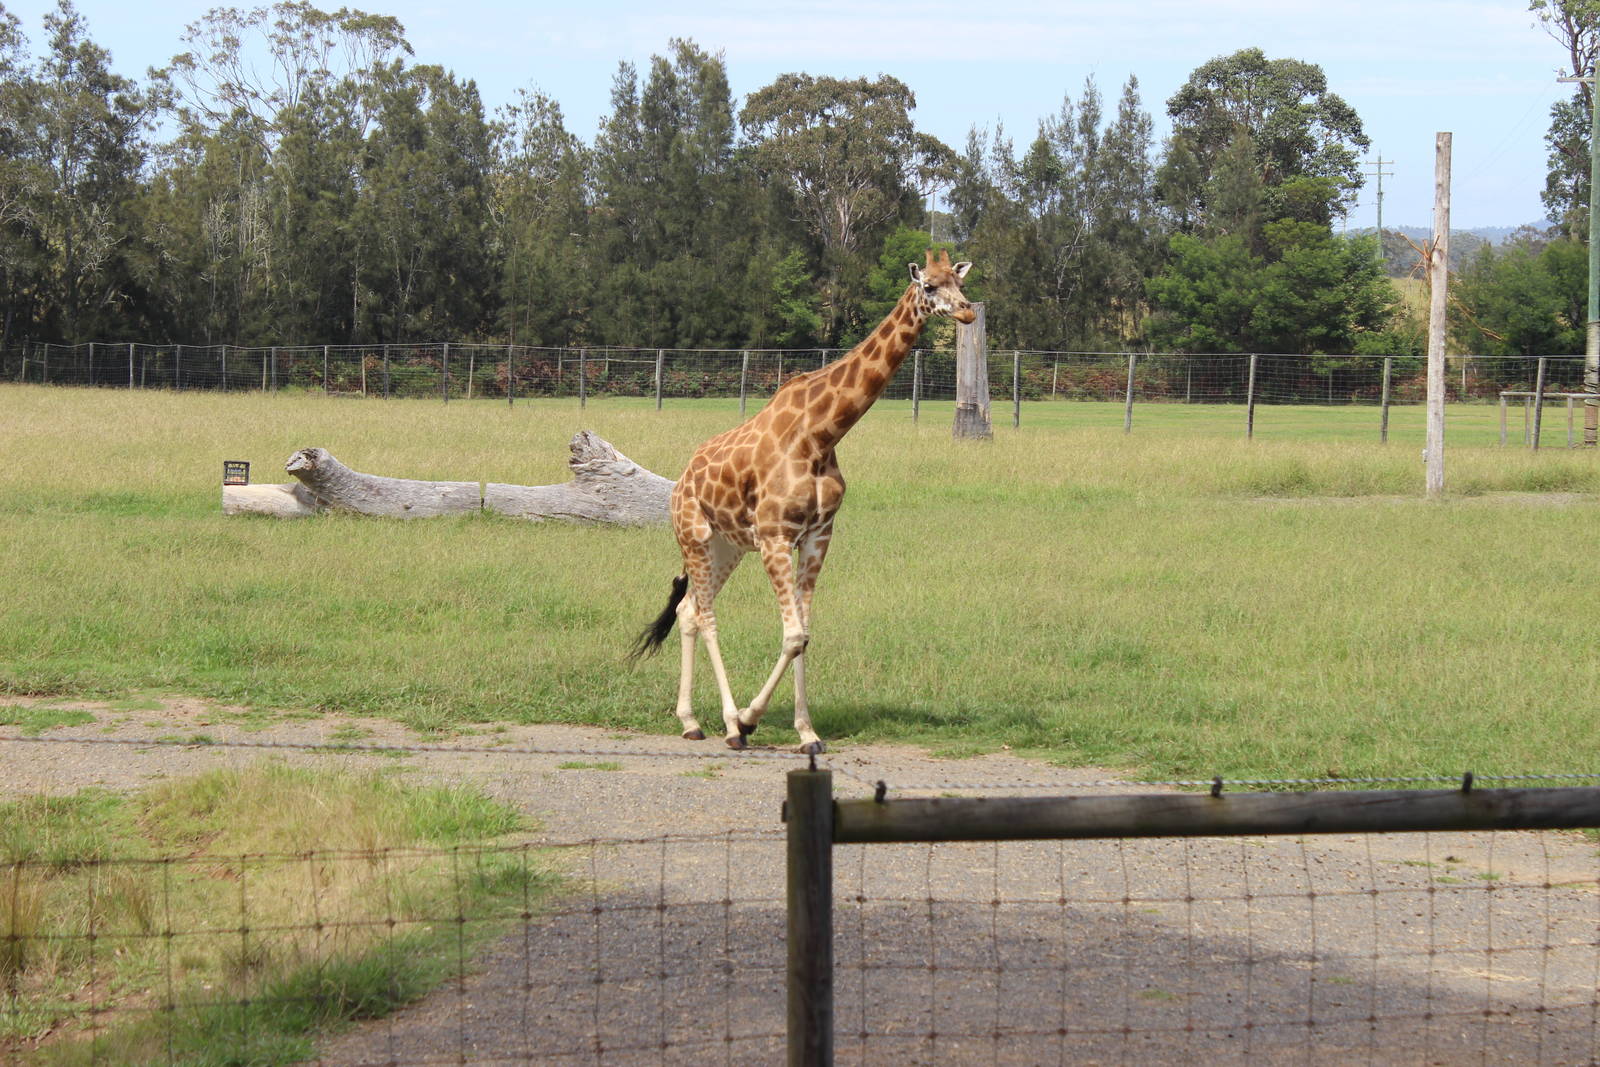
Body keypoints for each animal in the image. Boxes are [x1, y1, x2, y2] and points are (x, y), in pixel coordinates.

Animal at [630, 249, 975, 754]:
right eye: (929, 285)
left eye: (959, 281)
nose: (968, 312)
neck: (820, 435)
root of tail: (681, 481)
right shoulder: (776, 535)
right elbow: (793, 634)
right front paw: (749, 719)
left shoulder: (817, 535)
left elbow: (804, 633)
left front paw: (807, 733)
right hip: (693, 535)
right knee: (706, 614)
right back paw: (728, 723)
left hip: (727, 546)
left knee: (687, 610)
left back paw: (690, 720)